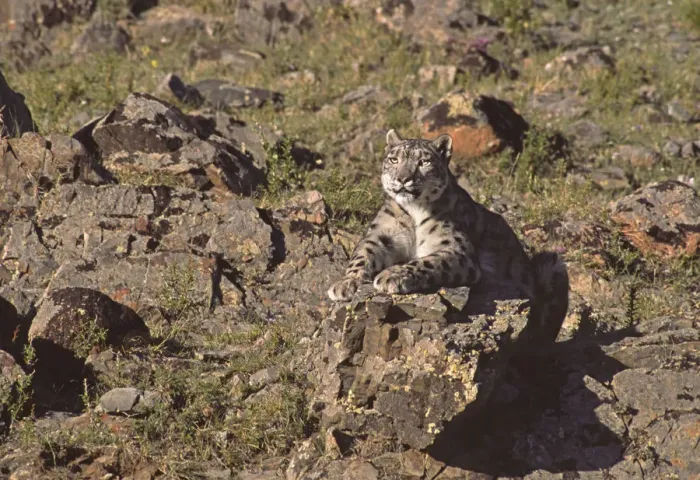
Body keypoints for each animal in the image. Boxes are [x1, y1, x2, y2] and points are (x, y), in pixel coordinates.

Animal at [327, 128, 569, 338]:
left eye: (423, 162)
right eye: (394, 160)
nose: (403, 178)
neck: (414, 213)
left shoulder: (456, 249)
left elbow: (427, 262)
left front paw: (392, 275)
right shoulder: (381, 235)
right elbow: (363, 254)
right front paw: (345, 283)